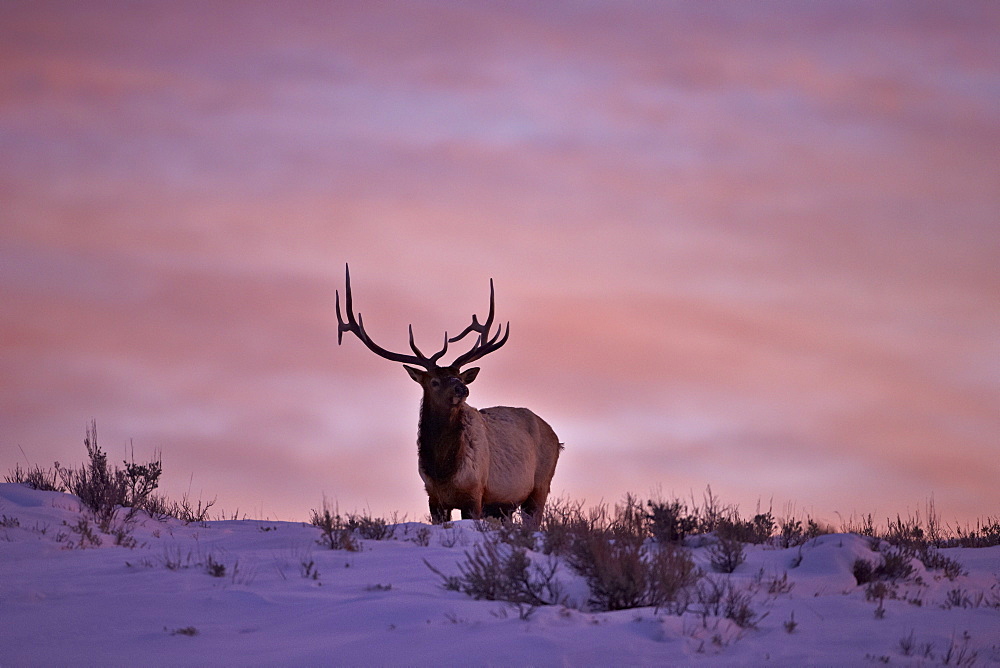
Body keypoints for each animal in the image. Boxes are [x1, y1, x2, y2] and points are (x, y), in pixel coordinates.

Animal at [332, 264, 560, 520]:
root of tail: (557, 438)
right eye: (434, 382)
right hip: (503, 505)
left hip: (539, 487)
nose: (462, 388)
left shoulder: (475, 494)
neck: (444, 472)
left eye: (459, 377)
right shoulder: (434, 498)